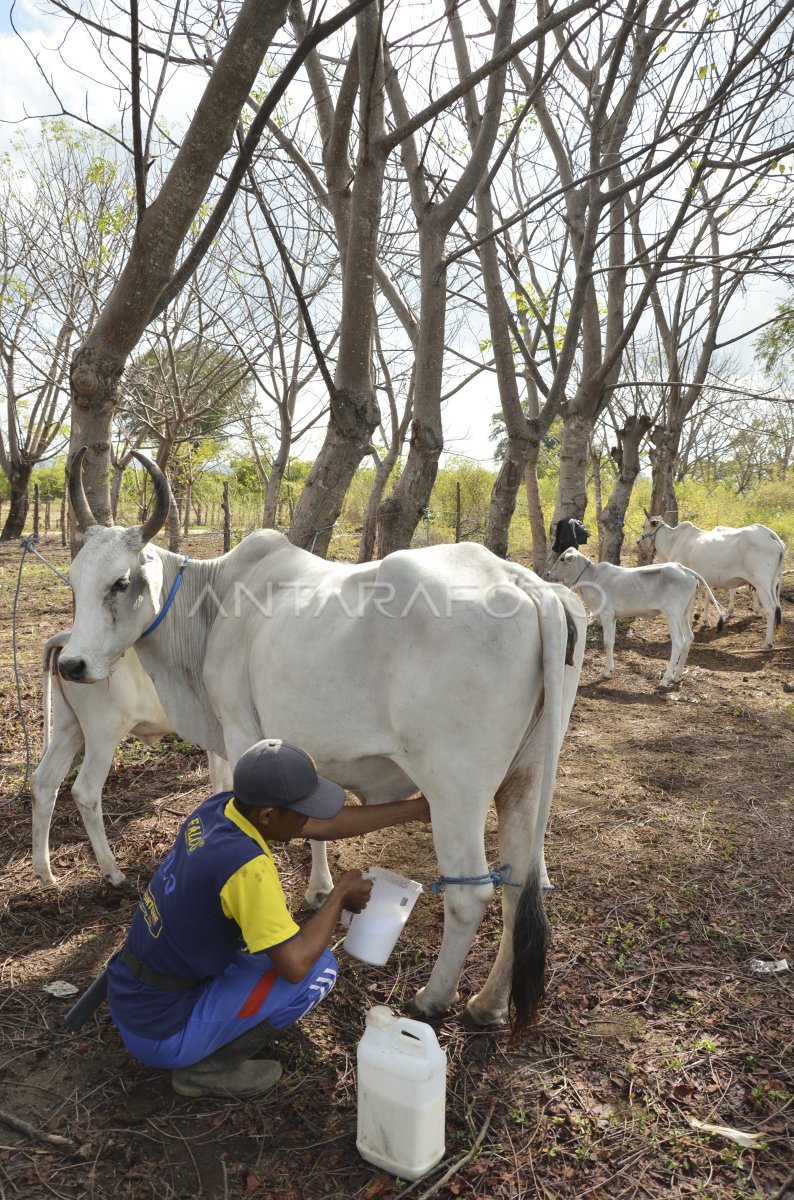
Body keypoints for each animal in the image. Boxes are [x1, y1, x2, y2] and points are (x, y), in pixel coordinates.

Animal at [34, 633, 233, 888]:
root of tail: (67, 637)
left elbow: (220, 778)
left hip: (67, 727)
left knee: (44, 784)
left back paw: (45, 874)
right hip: (102, 735)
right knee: (85, 792)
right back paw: (114, 873)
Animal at [57, 451, 590, 1032]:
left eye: (120, 582)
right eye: (75, 581)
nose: (72, 664)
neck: (213, 606)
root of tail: (524, 582)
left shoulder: (240, 731)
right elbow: (318, 823)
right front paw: (320, 889)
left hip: (458, 789)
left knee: (472, 895)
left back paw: (432, 999)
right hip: (527, 779)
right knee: (520, 889)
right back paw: (489, 1004)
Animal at [546, 549, 729, 691]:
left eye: (562, 559)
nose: (548, 573)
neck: (593, 576)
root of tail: (685, 570)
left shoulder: (606, 614)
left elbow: (607, 642)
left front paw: (606, 672)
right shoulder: (613, 617)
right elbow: (612, 642)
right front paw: (610, 670)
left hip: (673, 615)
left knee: (679, 642)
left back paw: (665, 680)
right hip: (684, 614)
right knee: (689, 638)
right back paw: (677, 676)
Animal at [638, 516, 786, 648]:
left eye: (644, 526)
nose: (638, 542)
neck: (673, 540)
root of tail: (769, 534)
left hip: (762, 584)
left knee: (771, 608)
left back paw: (767, 643)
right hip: (772, 583)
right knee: (776, 607)